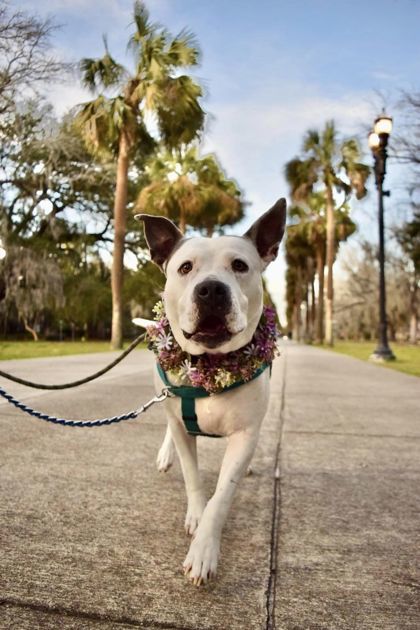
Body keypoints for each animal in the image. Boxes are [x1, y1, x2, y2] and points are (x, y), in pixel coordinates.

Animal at [137, 201, 286, 588]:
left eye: (240, 266)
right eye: (185, 268)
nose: (211, 290)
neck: (211, 362)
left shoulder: (245, 434)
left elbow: (222, 495)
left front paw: (204, 549)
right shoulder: (179, 422)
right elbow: (193, 476)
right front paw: (196, 514)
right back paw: (165, 455)